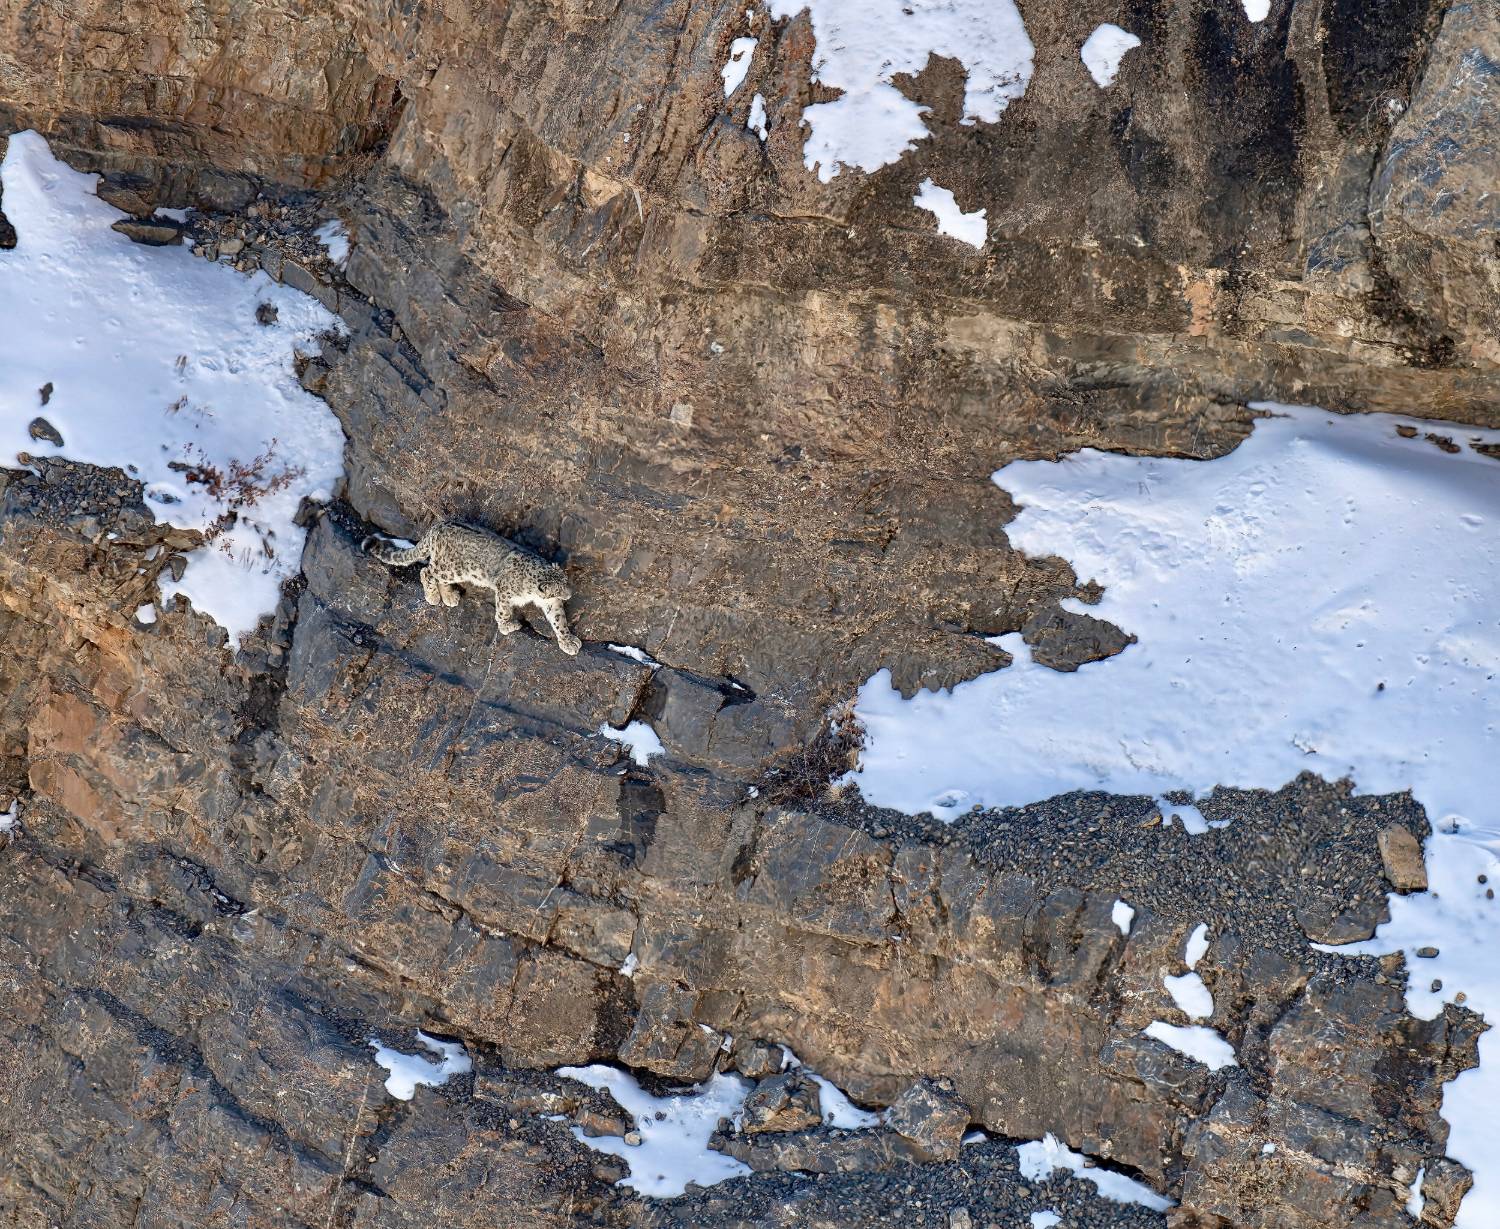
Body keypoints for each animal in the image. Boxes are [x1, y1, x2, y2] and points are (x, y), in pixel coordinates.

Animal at [363, 521, 582, 655]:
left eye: (565, 581)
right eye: (559, 589)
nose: (569, 595)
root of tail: (437, 526)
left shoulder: (551, 603)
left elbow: (559, 620)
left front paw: (568, 641)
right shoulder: (504, 591)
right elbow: (503, 612)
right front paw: (507, 626)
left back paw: (449, 597)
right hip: (451, 569)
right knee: (427, 571)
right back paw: (433, 596)